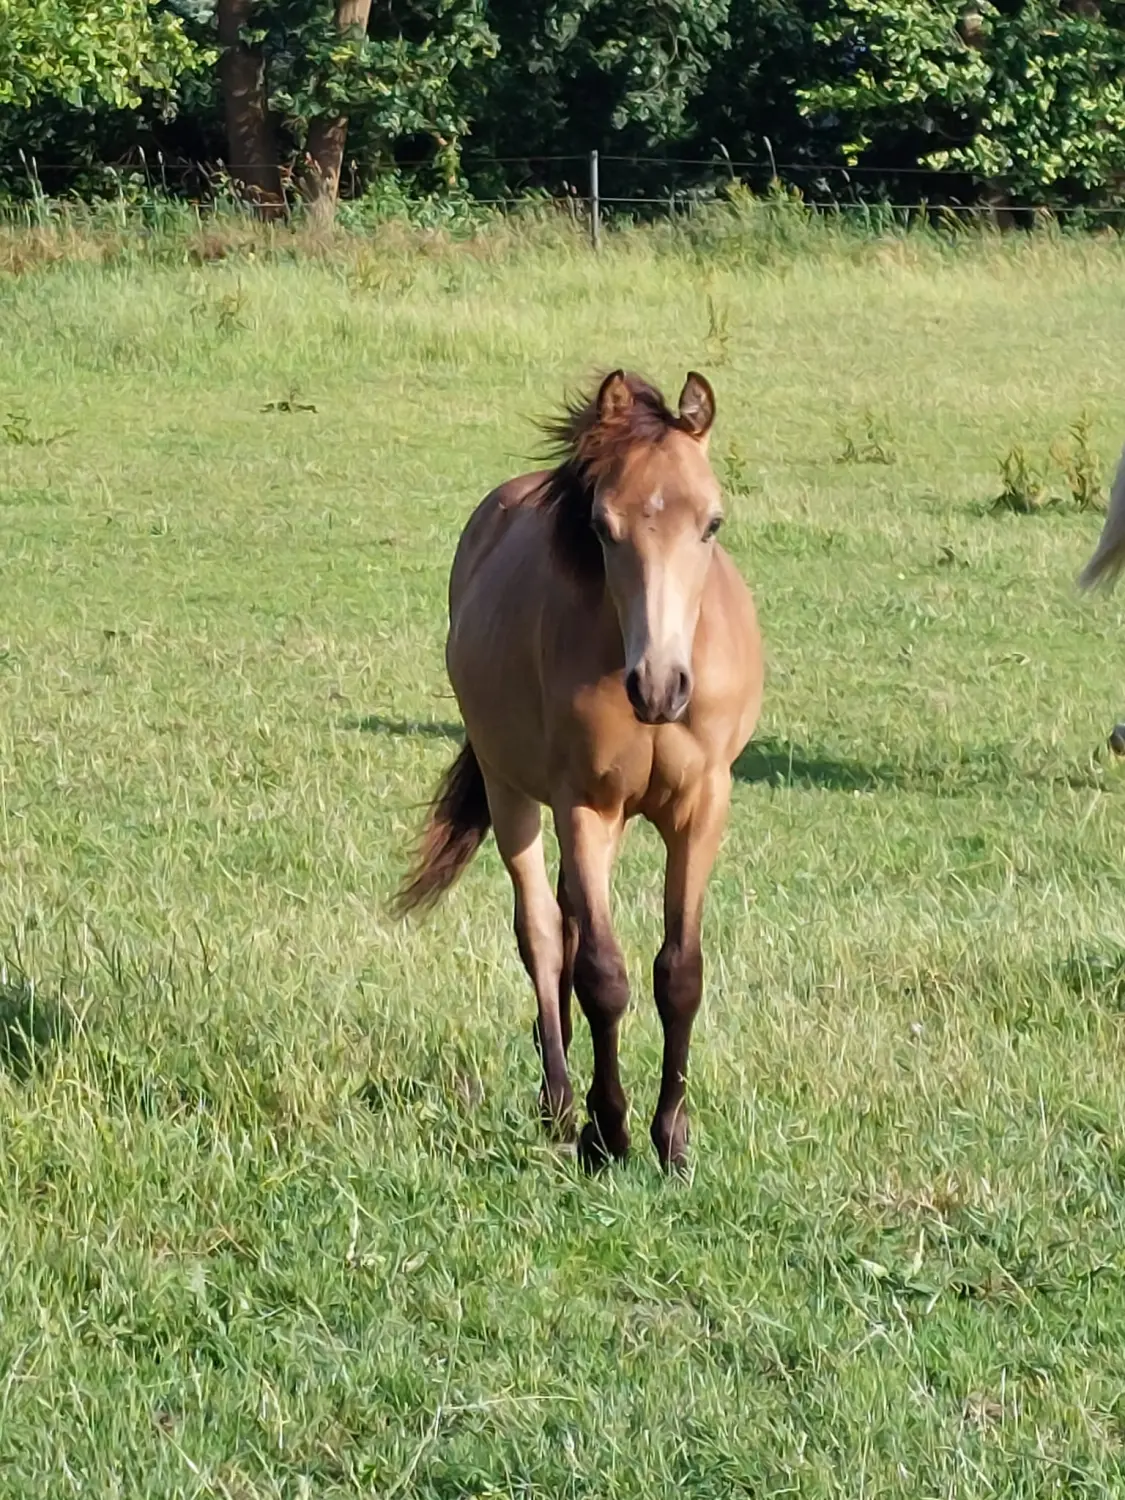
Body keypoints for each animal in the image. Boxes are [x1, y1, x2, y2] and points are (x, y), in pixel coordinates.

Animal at [395, 370, 763, 1172]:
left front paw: (672, 1138)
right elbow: (602, 973)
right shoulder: (583, 806)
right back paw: (561, 1102)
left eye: (712, 524)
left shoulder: (701, 806)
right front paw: (609, 1130)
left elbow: (678, 972)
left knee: (563, 921)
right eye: (602, 526)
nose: (659, 686)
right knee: (540, 930)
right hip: (510, 791)